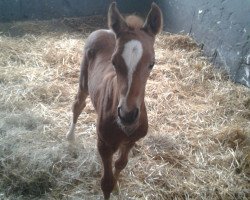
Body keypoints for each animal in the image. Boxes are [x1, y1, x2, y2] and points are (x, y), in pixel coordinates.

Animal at [66, 2, 163, 199]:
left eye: (152, 63)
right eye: (114, 62)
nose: (127, 115)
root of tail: (104, 30)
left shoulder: (131, 141)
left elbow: (121, 164)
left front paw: (118, 186)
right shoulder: (103, 144)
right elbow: (106, 183)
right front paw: (112, 185)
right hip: (83, 81)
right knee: (78, 104)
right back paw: (70, 137)